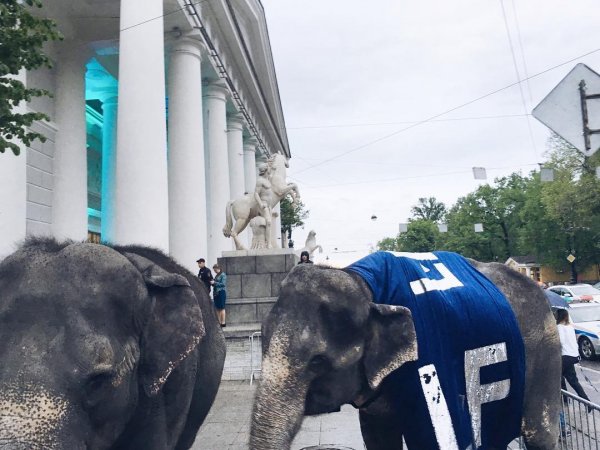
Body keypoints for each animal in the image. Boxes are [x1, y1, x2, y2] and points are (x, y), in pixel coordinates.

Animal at [250, 251, 564, 448]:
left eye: (317, 361)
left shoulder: (431, 367)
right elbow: (378, 437)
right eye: (262, 342)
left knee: (539, 434)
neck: (363, 285)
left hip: (546, 350)